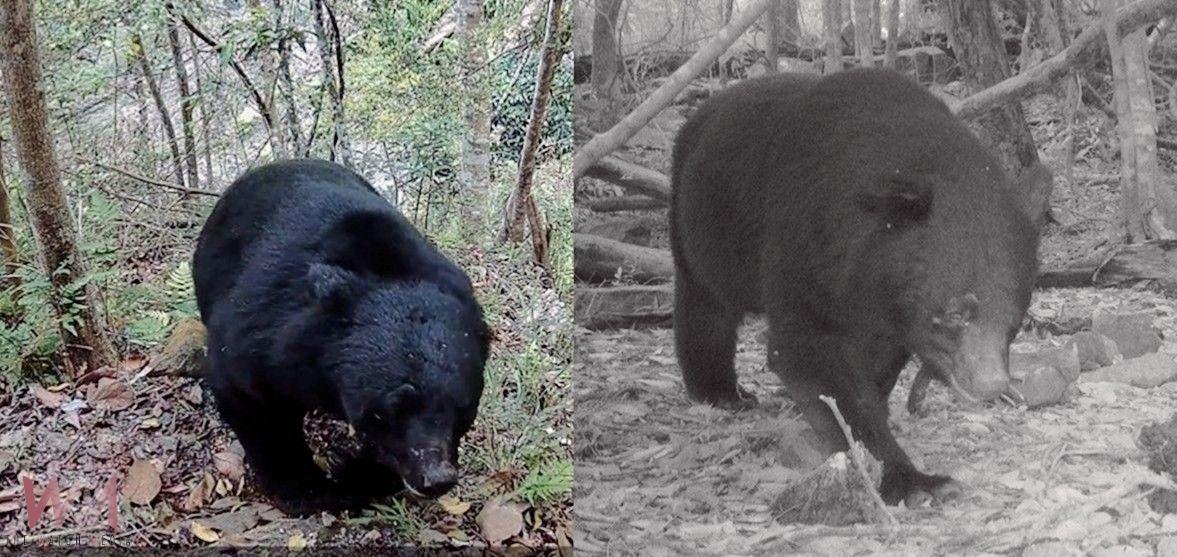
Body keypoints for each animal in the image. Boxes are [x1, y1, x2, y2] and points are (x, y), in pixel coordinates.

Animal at [192, 159, 490, 515]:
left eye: (464, 407)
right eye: (395, 404)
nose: (436, 477)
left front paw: (357, 472)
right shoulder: (267, 326)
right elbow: (249, 396)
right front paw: (310, 487)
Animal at [669, 68, 1050, 506]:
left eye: (1015, 322)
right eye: (954, 313)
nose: (990, 384)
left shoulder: (887, 308)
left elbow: (878, 360)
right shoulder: (801, 240)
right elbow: (808, 355)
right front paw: (915, 479)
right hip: (700, 227)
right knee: (705, 311)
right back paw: (722, 392)